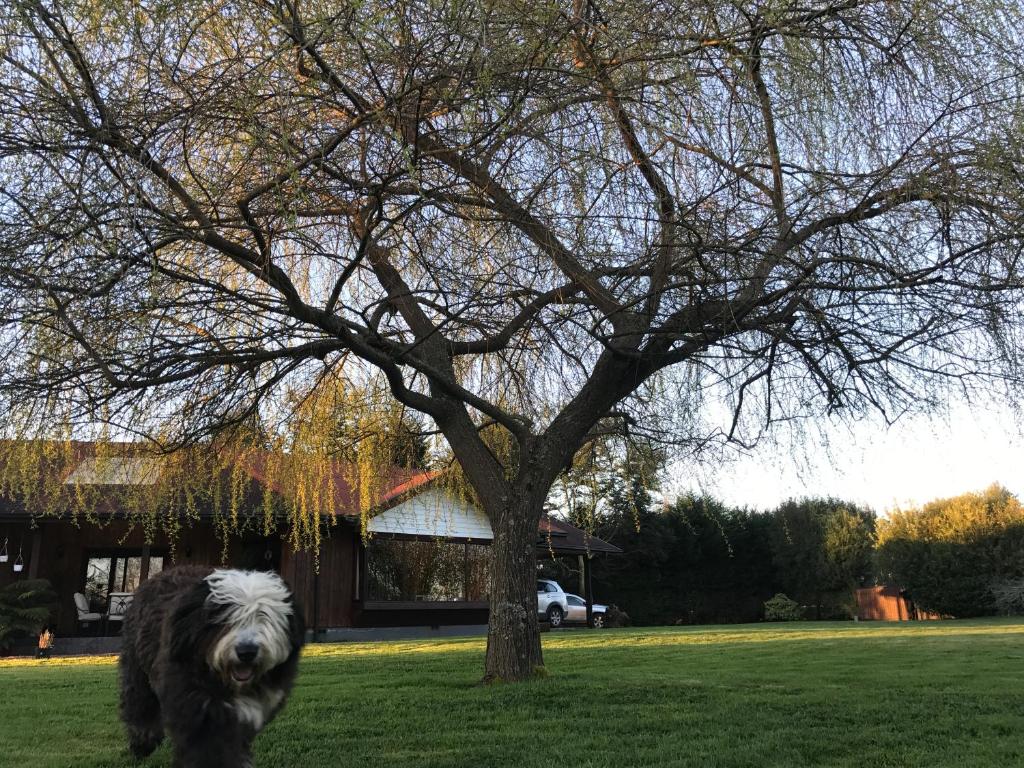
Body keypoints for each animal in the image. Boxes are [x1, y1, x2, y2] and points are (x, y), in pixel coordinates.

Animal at [118, 565, 303, 768]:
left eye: (263, 615)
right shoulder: (196, 713)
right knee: (140, 707)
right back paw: (143, 745)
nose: (246, 651)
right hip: (137, 671)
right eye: (225, 617)